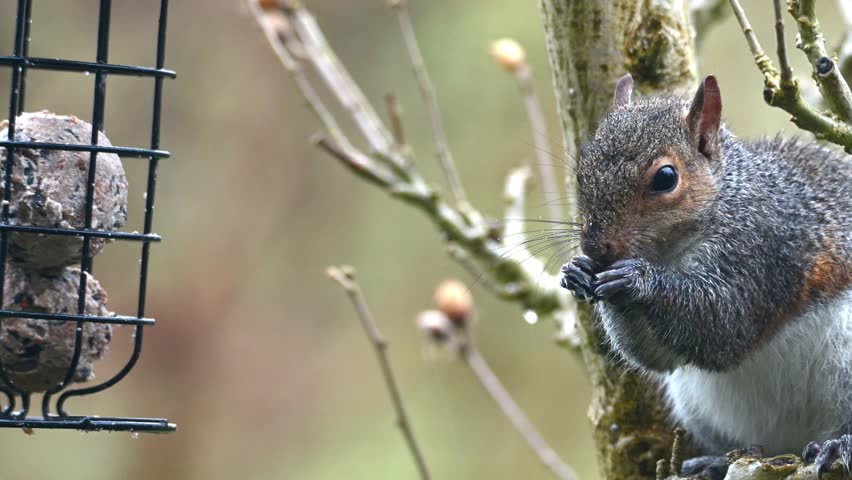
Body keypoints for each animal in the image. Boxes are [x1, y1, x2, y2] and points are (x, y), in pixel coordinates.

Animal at [560, 73, 852, 476]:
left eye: (666, 177)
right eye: (581, 173)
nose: (595, 248)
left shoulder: (768, 248)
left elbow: (725, 325)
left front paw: (636, 281)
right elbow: (657, 357)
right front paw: (579, 271)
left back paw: (839, 444)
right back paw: (713, 462)